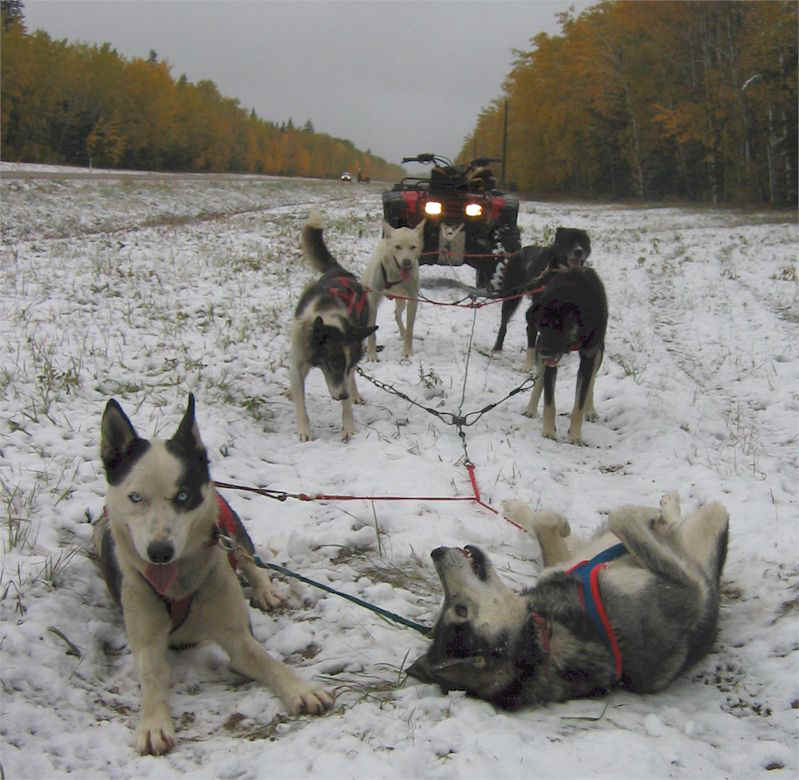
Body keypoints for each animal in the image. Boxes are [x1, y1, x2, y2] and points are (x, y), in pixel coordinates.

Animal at [93, 394, 333, 755]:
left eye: (183, 495)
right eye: (136, 497)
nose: (160, 552)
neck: (180, 587)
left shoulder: (237, 635)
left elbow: (266, 660)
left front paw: (299, 689)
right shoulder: (145, 633)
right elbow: (151, 677)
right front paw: (153, 723)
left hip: (231, 529)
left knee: (250, 560)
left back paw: (265, 590)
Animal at [292, 212, 377, 440]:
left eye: (343, 366)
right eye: (333, 364)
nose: (342, 395)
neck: (326, 315)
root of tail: (340, 270)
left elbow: (348, 392)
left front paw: (348, 427)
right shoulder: (298, 362)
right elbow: (300, 401)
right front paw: (304, 430)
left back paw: (355, 394)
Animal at [362, 220, 425, 360]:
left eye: (413, 247)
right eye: (398, 247)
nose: (407, 262)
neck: (395, 276)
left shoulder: (413, 299)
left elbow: (410, 328)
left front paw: (407, 351)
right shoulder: (372, 301)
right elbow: (372, 332)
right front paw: (372, 354)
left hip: (402, 300)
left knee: (397, 314)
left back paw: (402, 332)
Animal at [407, 492, 729, 710]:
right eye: (459, 610)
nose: (436, 552)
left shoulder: (563, 562)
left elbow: (545, 522)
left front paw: (557, 522)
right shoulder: (690, 589)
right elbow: (621, 516)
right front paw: (652, 514)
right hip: (707, 530)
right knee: (707, 513)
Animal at [523, 265, 607, 444]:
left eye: (559, 327)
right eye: (541, 324)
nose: (544, 351)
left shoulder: (589, 357)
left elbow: (580, 403)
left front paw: (575, 436)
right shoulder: (549, 360)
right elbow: (549, 402)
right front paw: (548, 431)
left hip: (598, 353)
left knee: (592, 381)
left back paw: (591, 410)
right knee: (540, 380)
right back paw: (531, 409)